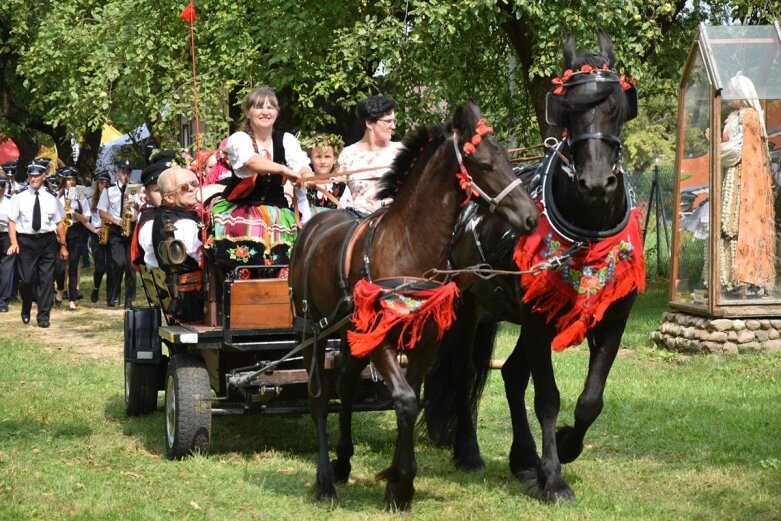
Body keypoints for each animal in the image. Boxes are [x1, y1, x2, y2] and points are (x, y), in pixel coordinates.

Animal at [426, 30, 640, 502]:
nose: (596, 183)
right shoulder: (537, 319)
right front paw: (555, 478)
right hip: (469, 304)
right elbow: (548, 397)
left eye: (617, 104)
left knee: (509, 373)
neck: (587, 233)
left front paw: (563, 447)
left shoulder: (613, 316)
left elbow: (590, 400)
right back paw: (470, 453)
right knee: (468, 372)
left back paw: (524, 460)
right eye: (567, 109)